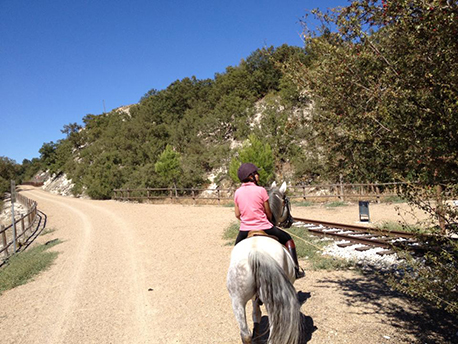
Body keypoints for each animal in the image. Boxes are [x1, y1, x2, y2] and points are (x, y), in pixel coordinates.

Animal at [226, 181, 300, 342]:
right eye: (286, 201)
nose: (290, 221)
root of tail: (255, 251)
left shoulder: (255, 298)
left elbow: (256, 315)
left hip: (237, 300)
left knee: (245, 334)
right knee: (274, 332)